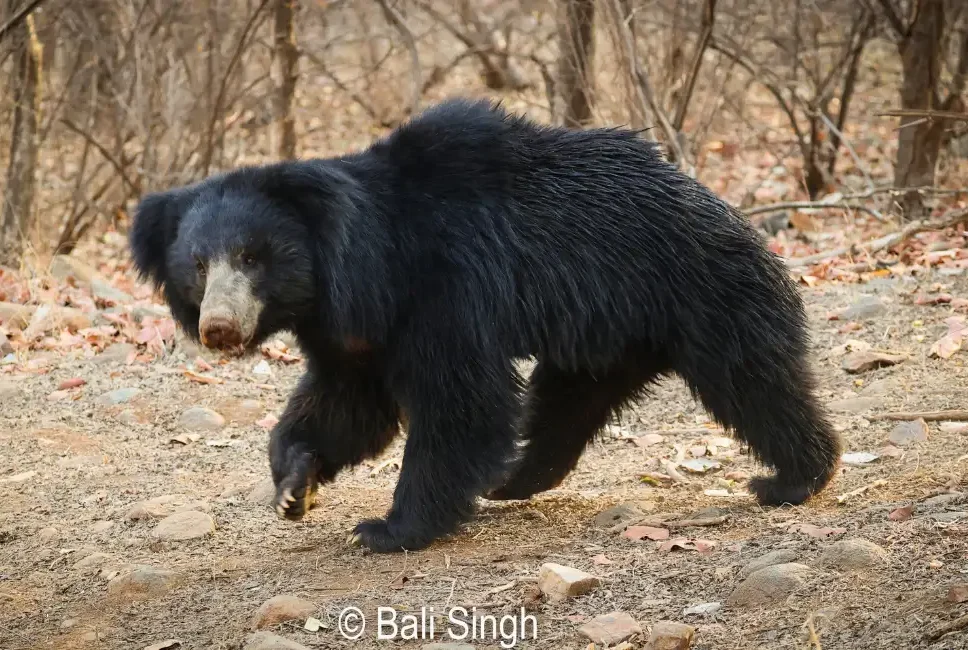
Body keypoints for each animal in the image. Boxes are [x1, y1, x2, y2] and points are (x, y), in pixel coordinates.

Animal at [129, 97, 840, 553]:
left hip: (698, 288)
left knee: (752, 381)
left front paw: (388, 530)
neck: (358, 267)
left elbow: (459, 403)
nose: (220, 329)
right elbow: (348, 404)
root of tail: (718, 202)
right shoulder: (356, 332)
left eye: (253, 257)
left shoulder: (442, 289)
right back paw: (514, 481)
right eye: (198, 266)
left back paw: (792, 478)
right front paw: (292, 485)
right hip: (604, 338)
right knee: (566, 405)